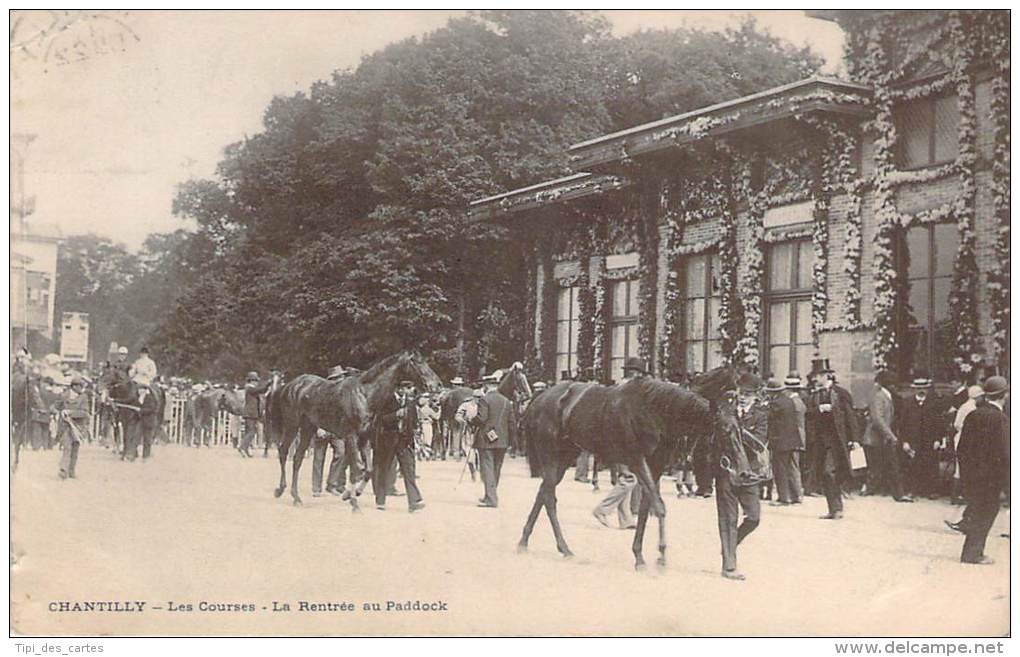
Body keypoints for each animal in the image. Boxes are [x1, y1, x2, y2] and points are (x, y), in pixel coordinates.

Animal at [267, 348, 442, 508]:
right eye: (417, 363)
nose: (438, 385)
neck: (364, 395)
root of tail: (289, 386)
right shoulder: (351, 436)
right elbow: (357, 467)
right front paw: (354, 502)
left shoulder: (364, 437)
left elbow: (368, 469)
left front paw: (353, 494)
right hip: (292, 425)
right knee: (283, 452)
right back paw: (280, 490)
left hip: (308, 427)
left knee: (297, 458)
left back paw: (296, 497)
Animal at [518, 365, 742, 571]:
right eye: (725, 430)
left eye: (738, 428)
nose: (740, 467)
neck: (654, 411)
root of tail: (537, 401)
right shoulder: (637, 460)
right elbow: (659, 506)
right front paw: (661, 556)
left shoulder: (656, 465)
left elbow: (645, 507)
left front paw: (639, 555)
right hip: (550, 456)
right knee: (549, 498)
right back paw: (563, 547)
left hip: (565, 456)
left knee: (543, 492)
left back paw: (525, 541)